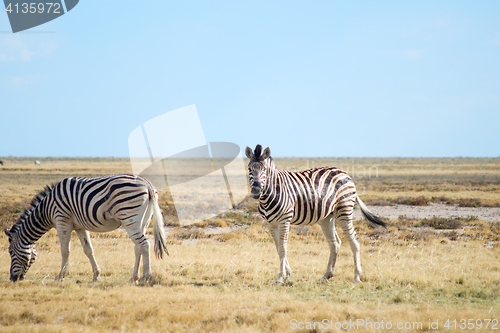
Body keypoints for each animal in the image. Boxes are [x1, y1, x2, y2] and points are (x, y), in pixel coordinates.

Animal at [3, 174, 168, 282]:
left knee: (144, 244)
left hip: (129, 217)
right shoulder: (80, 227)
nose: (13, 279)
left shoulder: (62, 222)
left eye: (10, 252)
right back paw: (134, 277)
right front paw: (96, 275)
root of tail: (147, 184)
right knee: (138, 247)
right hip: (143, 221)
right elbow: (88, 250)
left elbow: (65, 251)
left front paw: (60, 276)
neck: (46, 210)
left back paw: (146, 277)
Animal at [246, 144, 386, 284]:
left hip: (344, 211)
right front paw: (288, 274)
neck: (271, 193)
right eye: (249, 169)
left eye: (264, 170)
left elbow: (282, 249)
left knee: (354, 241)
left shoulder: (284, 220)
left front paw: (280, 278)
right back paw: (327, 275)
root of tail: (344, 172)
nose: (256, 192)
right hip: (327, 218)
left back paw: (356, 277)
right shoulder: (270, 224)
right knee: (335, 243)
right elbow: (278, 248)